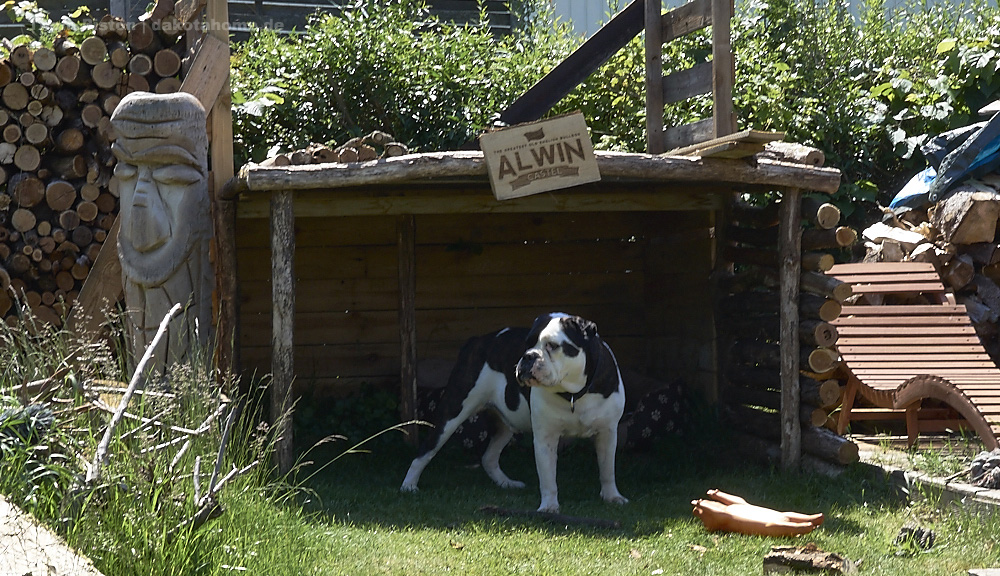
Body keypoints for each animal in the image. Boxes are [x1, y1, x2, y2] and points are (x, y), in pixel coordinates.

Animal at [398, 312, 624, 510]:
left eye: (552, 346)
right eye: (527, 343)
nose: (528, 356)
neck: (573, 394)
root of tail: (476, 341)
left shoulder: (608, 433)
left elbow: (607, 469)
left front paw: (612, 496)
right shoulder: (545, 438)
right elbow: (548, 478)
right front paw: (549, 507)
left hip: (506, 424)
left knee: (489, 457)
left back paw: (506, 483)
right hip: (451, 413)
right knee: (425, 451)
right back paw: (409, 485)